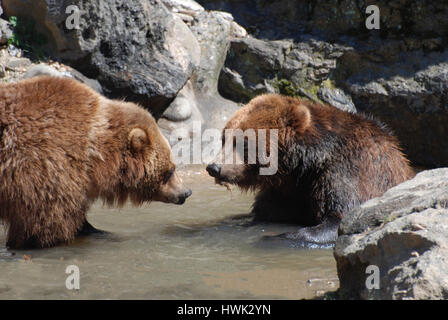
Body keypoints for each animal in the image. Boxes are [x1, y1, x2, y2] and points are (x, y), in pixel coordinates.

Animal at [206, 94, 412, 246]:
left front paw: (272, 237)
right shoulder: (286, 191)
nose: (214, 167)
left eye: (244, 142)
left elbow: (340, 219)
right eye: (224, 138)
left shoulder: (349, 170)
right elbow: (264, 213)